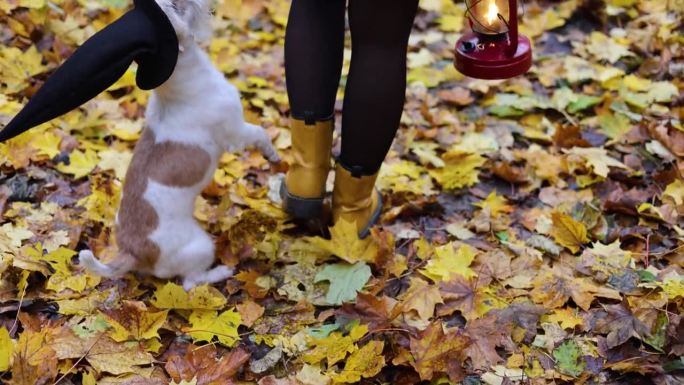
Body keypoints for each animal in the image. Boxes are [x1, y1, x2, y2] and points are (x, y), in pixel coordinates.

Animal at [80, 0, 280, 290]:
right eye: (175, 7)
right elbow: (260, 133)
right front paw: (272, 154)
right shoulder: (236, 131)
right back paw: (219, 273)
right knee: (190, 282)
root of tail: (131, 252)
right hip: (200, 246)